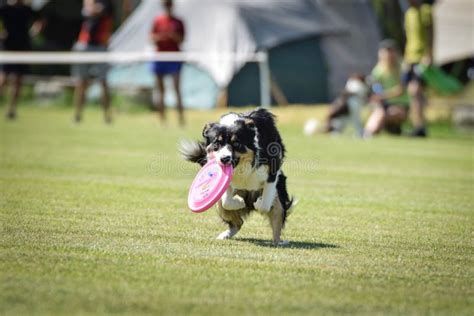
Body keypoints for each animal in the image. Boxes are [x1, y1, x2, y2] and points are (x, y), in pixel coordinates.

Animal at [181, 108, 292, 244]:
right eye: (217, 143)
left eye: (236, 144)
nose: (224, 159)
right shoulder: (226, 183)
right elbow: (226, 202)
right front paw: (239, 202)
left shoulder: (272, 170)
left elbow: (265, 204)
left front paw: (259, 203)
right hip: (219, 205)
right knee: (238, 222)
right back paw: (226, 234)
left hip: (278, 199)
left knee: (276, 220)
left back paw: (278, 242)